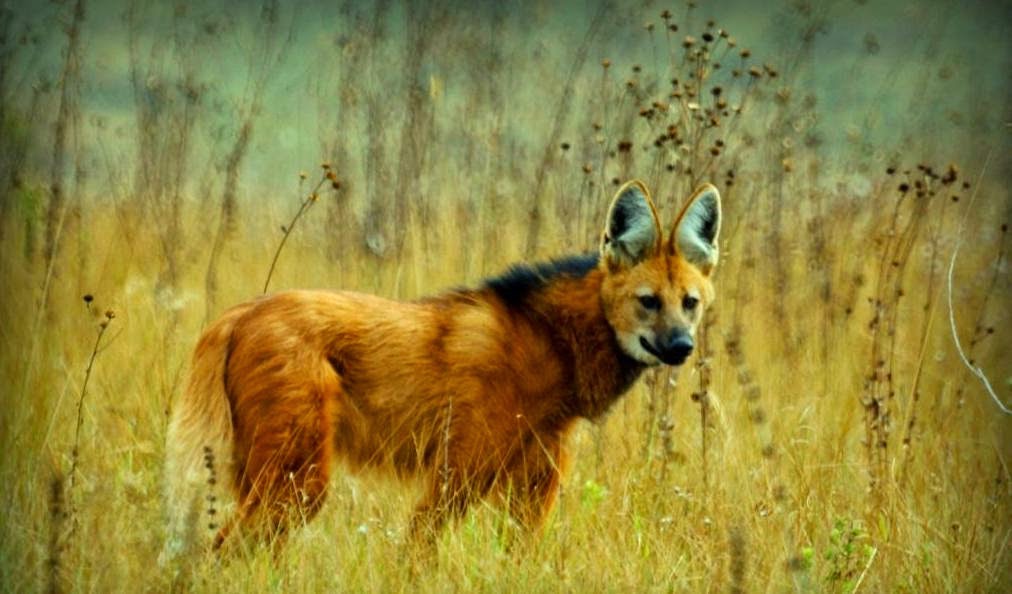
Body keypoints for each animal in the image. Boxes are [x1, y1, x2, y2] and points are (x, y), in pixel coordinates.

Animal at [159, 180, 720, 558]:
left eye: (689, 303)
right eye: (648, 302)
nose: (681, 346)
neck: (553, 344)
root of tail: (237, 314)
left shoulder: (531, 491)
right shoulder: (457, 475)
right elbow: (417, 554)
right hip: (298, 482)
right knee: (220, 551)